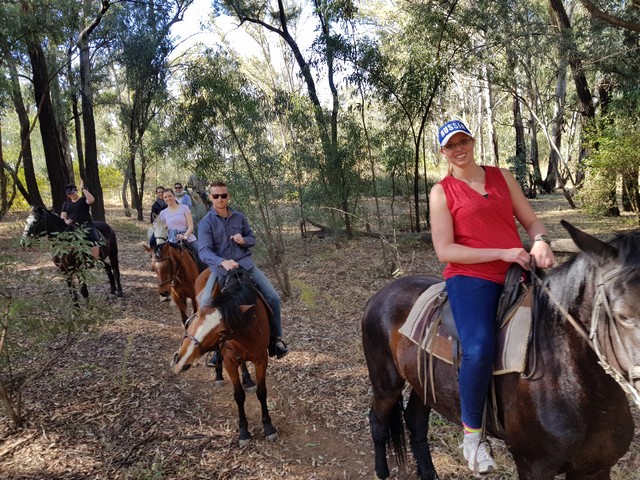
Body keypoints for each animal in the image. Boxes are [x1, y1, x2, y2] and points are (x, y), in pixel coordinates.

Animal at [171, 266, 274, 446]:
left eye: (222, 331)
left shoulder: (262, 359)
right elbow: (239, 396)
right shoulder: (230, 362)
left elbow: (262, 392)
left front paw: (268, 426)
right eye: (197, 315)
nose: (180, 359)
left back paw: (248, 380)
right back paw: (218, 374)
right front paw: (243, 431)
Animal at [362, 221, 636, 480]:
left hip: (424, 382)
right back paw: (382, 472)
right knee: (378, 421)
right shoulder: (534, 466)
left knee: (416, 421)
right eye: (623, 315)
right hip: (386, 383)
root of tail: (381, 294)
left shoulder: (595, 468)